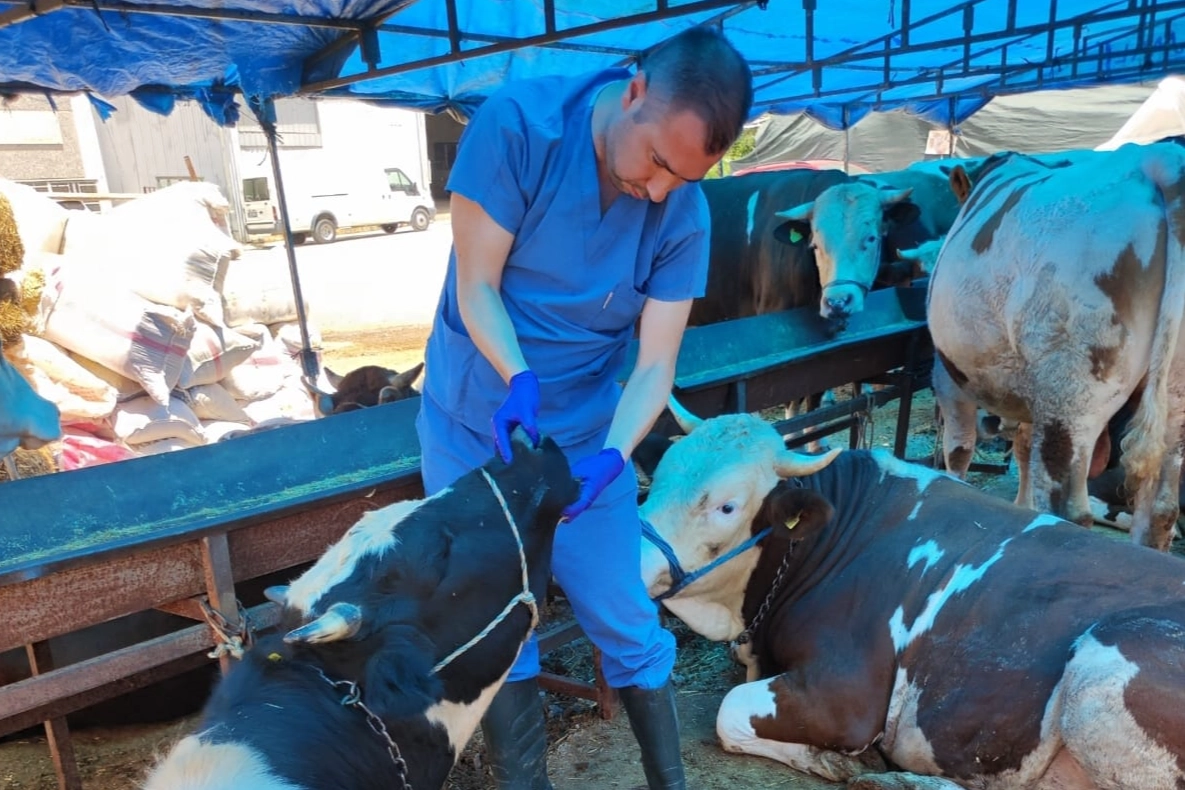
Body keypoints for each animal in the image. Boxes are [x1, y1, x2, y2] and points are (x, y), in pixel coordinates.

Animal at [639, 407, 1185, 790]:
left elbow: (729, 711)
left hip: (1102, 665)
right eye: (657, 478)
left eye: (727, 506)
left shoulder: (847, 694)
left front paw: (835, 758)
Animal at [929, 142, 1185, 549]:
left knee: (1068, 511)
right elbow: (1021, 447)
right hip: (1172, 400)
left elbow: (959, 450)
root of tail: (1158, 159)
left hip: (1070, 393)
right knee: (1160, 509)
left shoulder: (947, 377)